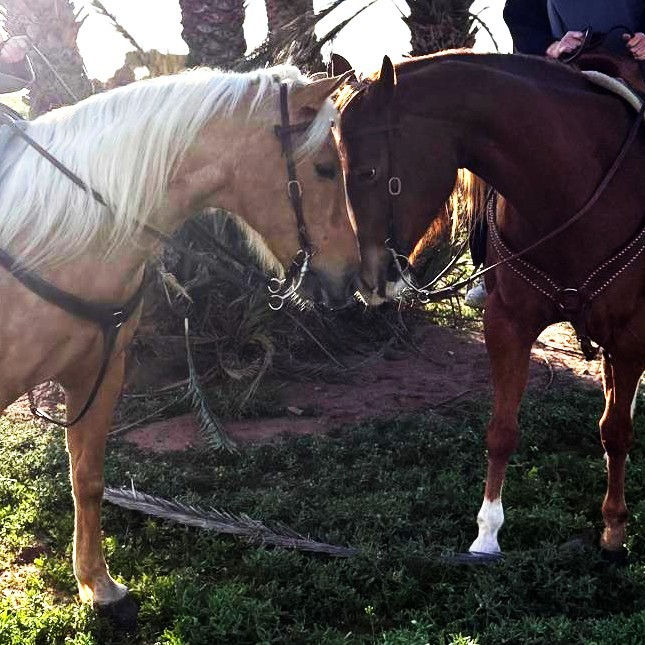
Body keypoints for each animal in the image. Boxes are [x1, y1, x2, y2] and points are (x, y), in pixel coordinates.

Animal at [0, 64, 359, 627]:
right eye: (324, 168)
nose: (349, 276)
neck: (50, 232)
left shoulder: (98, 375)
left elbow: (89, 479)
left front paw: (99, 586)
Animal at [336, 52, 645, 562]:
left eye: (368, 173)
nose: (367, 280)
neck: (573, 195)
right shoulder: (508, 323)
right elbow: (501, 430)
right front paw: (487, 536)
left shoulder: (630, 336)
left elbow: (616, 430)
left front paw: (615, 528)